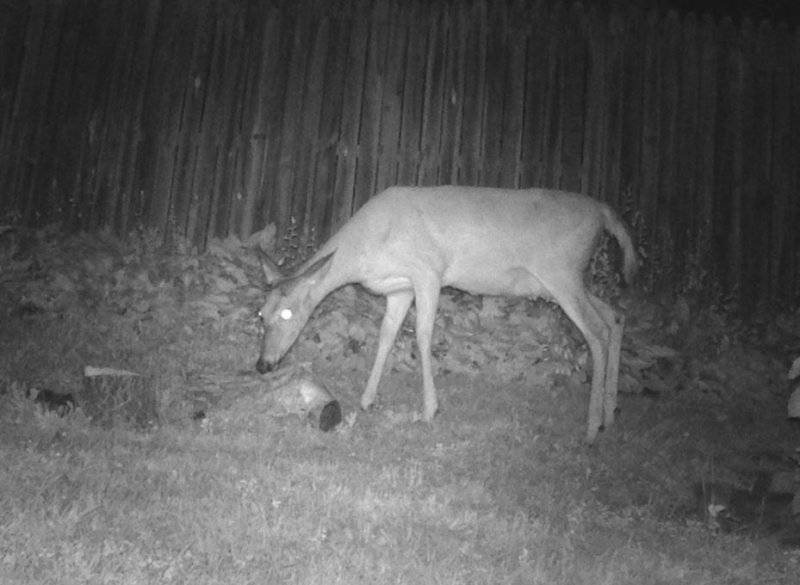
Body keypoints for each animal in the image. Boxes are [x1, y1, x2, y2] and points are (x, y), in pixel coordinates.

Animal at [255, 186, 638, 443]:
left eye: (288, 313)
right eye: (261, 314)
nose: (263, 364)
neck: (368, 247)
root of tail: (603, 211)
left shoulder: (428, 272)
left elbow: (423, 337)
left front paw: (429, 410)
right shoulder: (399, 289)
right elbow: (386, 336)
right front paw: (367, 400)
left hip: (561, 272)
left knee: (596, 331)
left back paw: (591, 428)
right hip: (564, 281)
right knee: (616, 315)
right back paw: (610, 414)